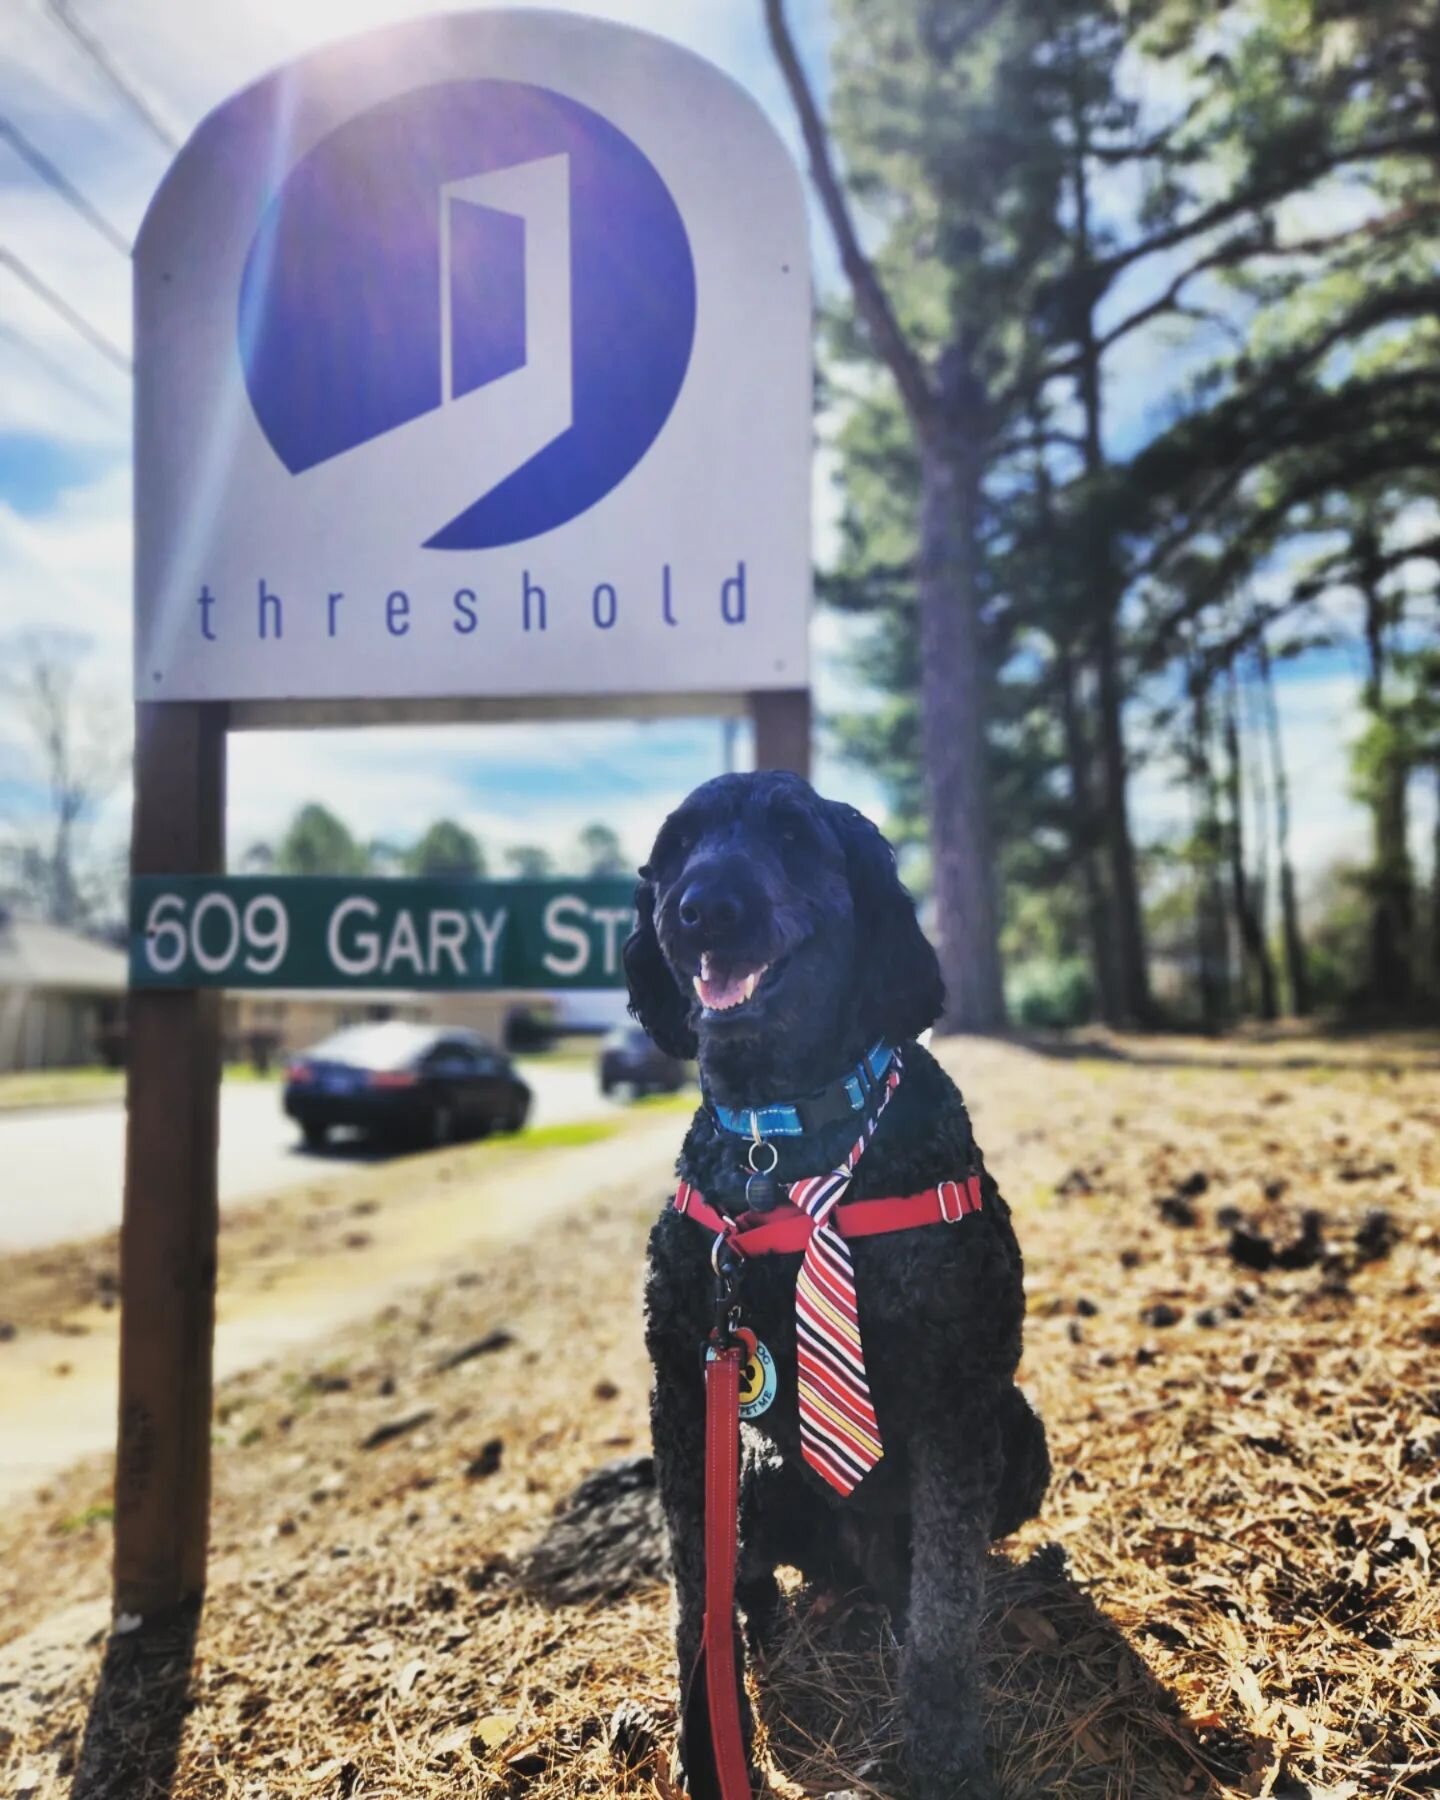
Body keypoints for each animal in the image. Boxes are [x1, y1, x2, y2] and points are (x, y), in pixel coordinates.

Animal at [626, 770, 1044, 1800]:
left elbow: (945, 1608)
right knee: (747, 1578)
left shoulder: (955, 1394)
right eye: (676, 846)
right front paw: (710, 1748)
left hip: (1017, 1430)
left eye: (792, 836)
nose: (701, 909)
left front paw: (945, 1757)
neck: (786, 1138)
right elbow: (692, 1597)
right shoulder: (683, 1389)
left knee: (923, 1571)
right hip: (752, 1466)